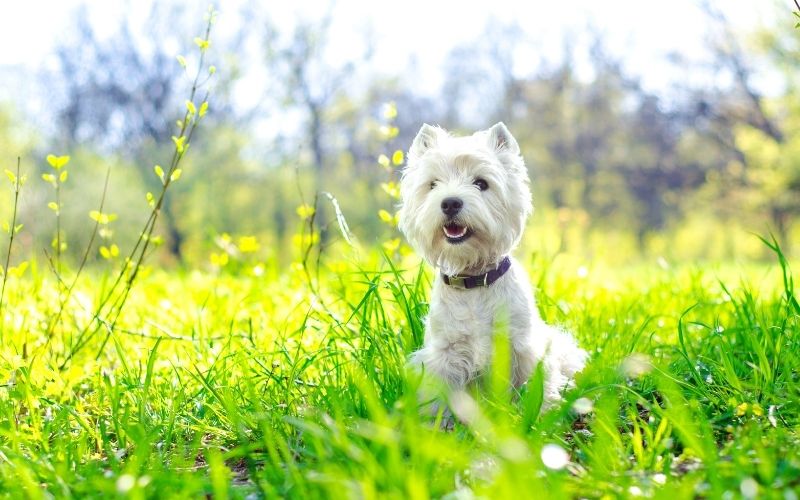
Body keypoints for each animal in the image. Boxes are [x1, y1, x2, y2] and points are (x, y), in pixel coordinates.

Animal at [396, 121, 584, 406]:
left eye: (481, 183)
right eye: (433, 184)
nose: (450, 202)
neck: (473, 281)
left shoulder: (523, 346)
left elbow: (536, 386)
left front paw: (544, 412)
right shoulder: (444, 353)